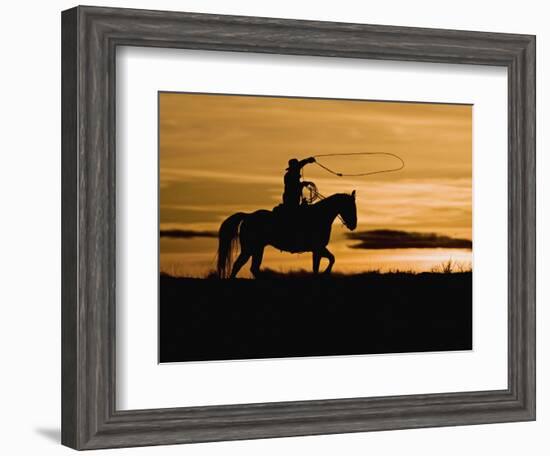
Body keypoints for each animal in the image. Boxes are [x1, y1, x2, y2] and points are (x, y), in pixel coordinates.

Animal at [216, 191, 358, 278]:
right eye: (350, 207)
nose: (353, 225)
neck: (319, 215)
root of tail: (248, 216)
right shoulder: (318, 248)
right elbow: (324, 263)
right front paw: (325, 273)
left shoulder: (318, 249)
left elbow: (328, 260)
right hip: (249, 248)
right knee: (238, 265)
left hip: (258, 249)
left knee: (253, 268)